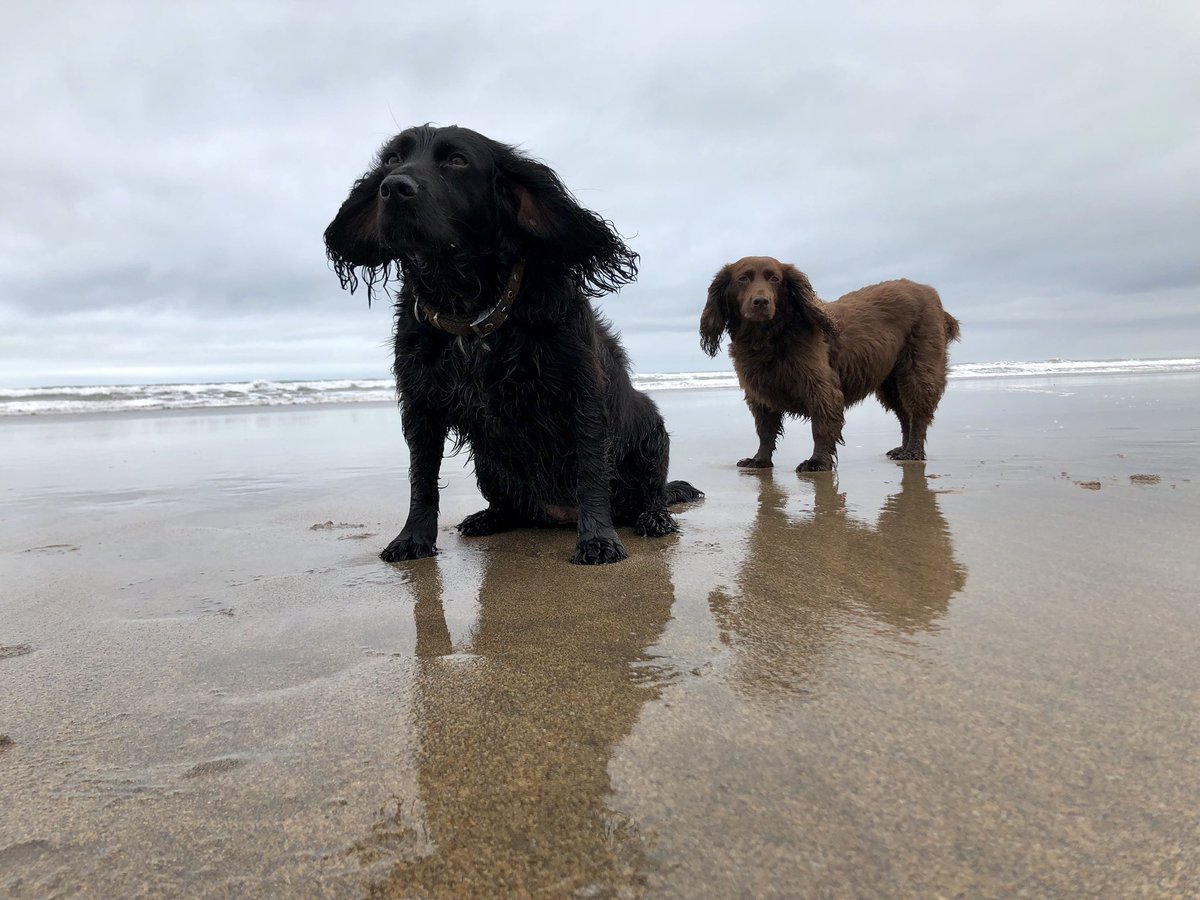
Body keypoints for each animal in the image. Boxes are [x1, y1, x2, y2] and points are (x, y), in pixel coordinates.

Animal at [326, 125, 700, 564]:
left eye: (457, 160)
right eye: (391, 160)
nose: (393, 188)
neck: (471, 314)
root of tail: (558, 514)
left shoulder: (583, 392)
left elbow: (592, 472)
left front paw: (598, 540)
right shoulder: (421, 404)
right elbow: (422, 479)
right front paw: (412, 538)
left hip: (652, 431)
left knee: (651, 493)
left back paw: (653, 518)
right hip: (489, 464)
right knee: (509, 506)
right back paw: (487, 518)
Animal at [700, 255, 960, 472]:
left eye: (775, 278)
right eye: (743, 278)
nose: (761, 301)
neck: (769, 338)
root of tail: (929, 291)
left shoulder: (821, 388)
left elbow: (821, 427)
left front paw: (817, 462)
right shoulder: (761, 394)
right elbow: (765, 431)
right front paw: (760, 460)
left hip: (918, 370)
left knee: (918, 413)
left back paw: (913, 452)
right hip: (889, 381)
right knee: (905, 415)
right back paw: (903, 449)